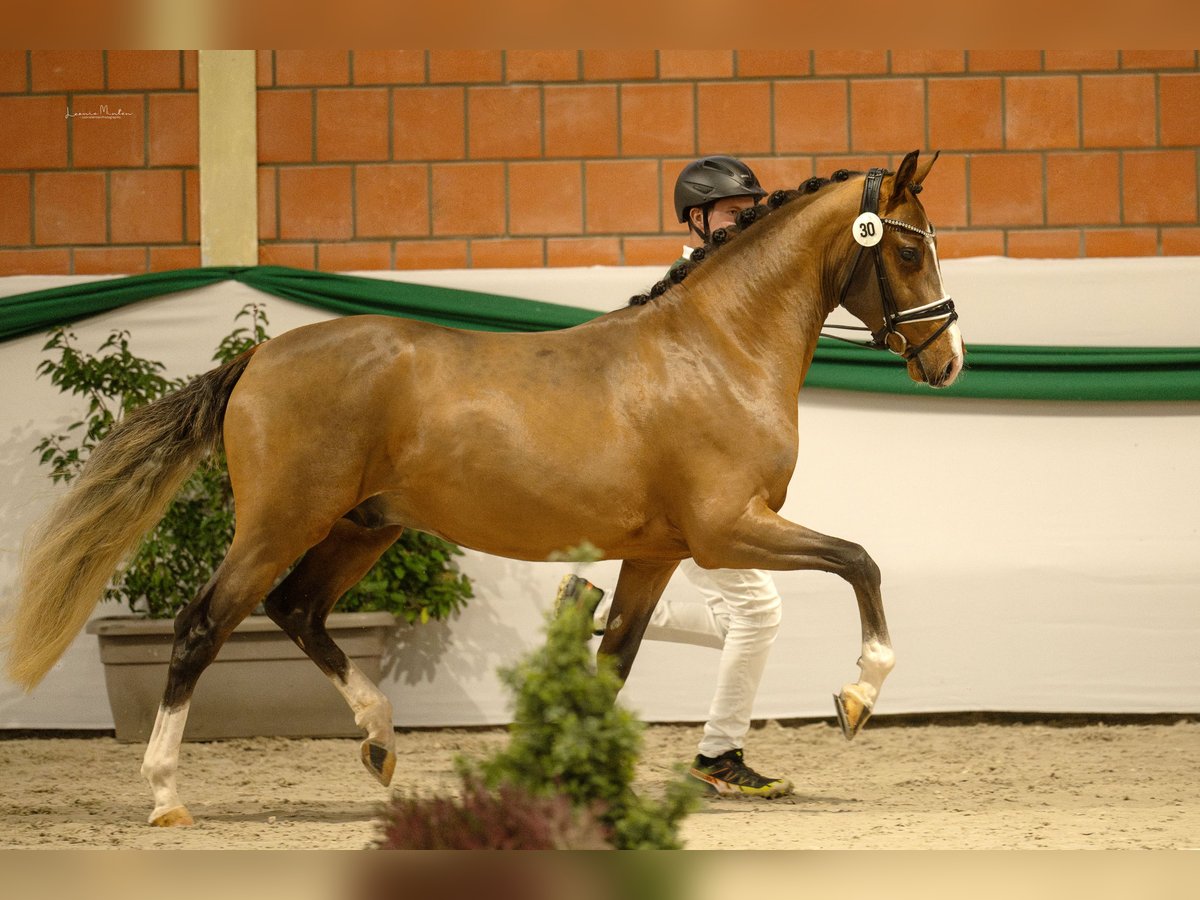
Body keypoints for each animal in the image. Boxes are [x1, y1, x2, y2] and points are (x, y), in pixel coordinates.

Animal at [0, 150, 955, 830]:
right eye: (908, 246)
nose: (946, 360)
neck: (716, 348)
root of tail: (259, 357)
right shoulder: (728, 531)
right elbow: (860, 561)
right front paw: (860, 694)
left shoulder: (658, 553)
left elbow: (613, 660)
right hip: (281, 521)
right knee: (204, 623)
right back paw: (166, 794)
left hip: (361, 527)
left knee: (297, 610)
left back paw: (381, 742)